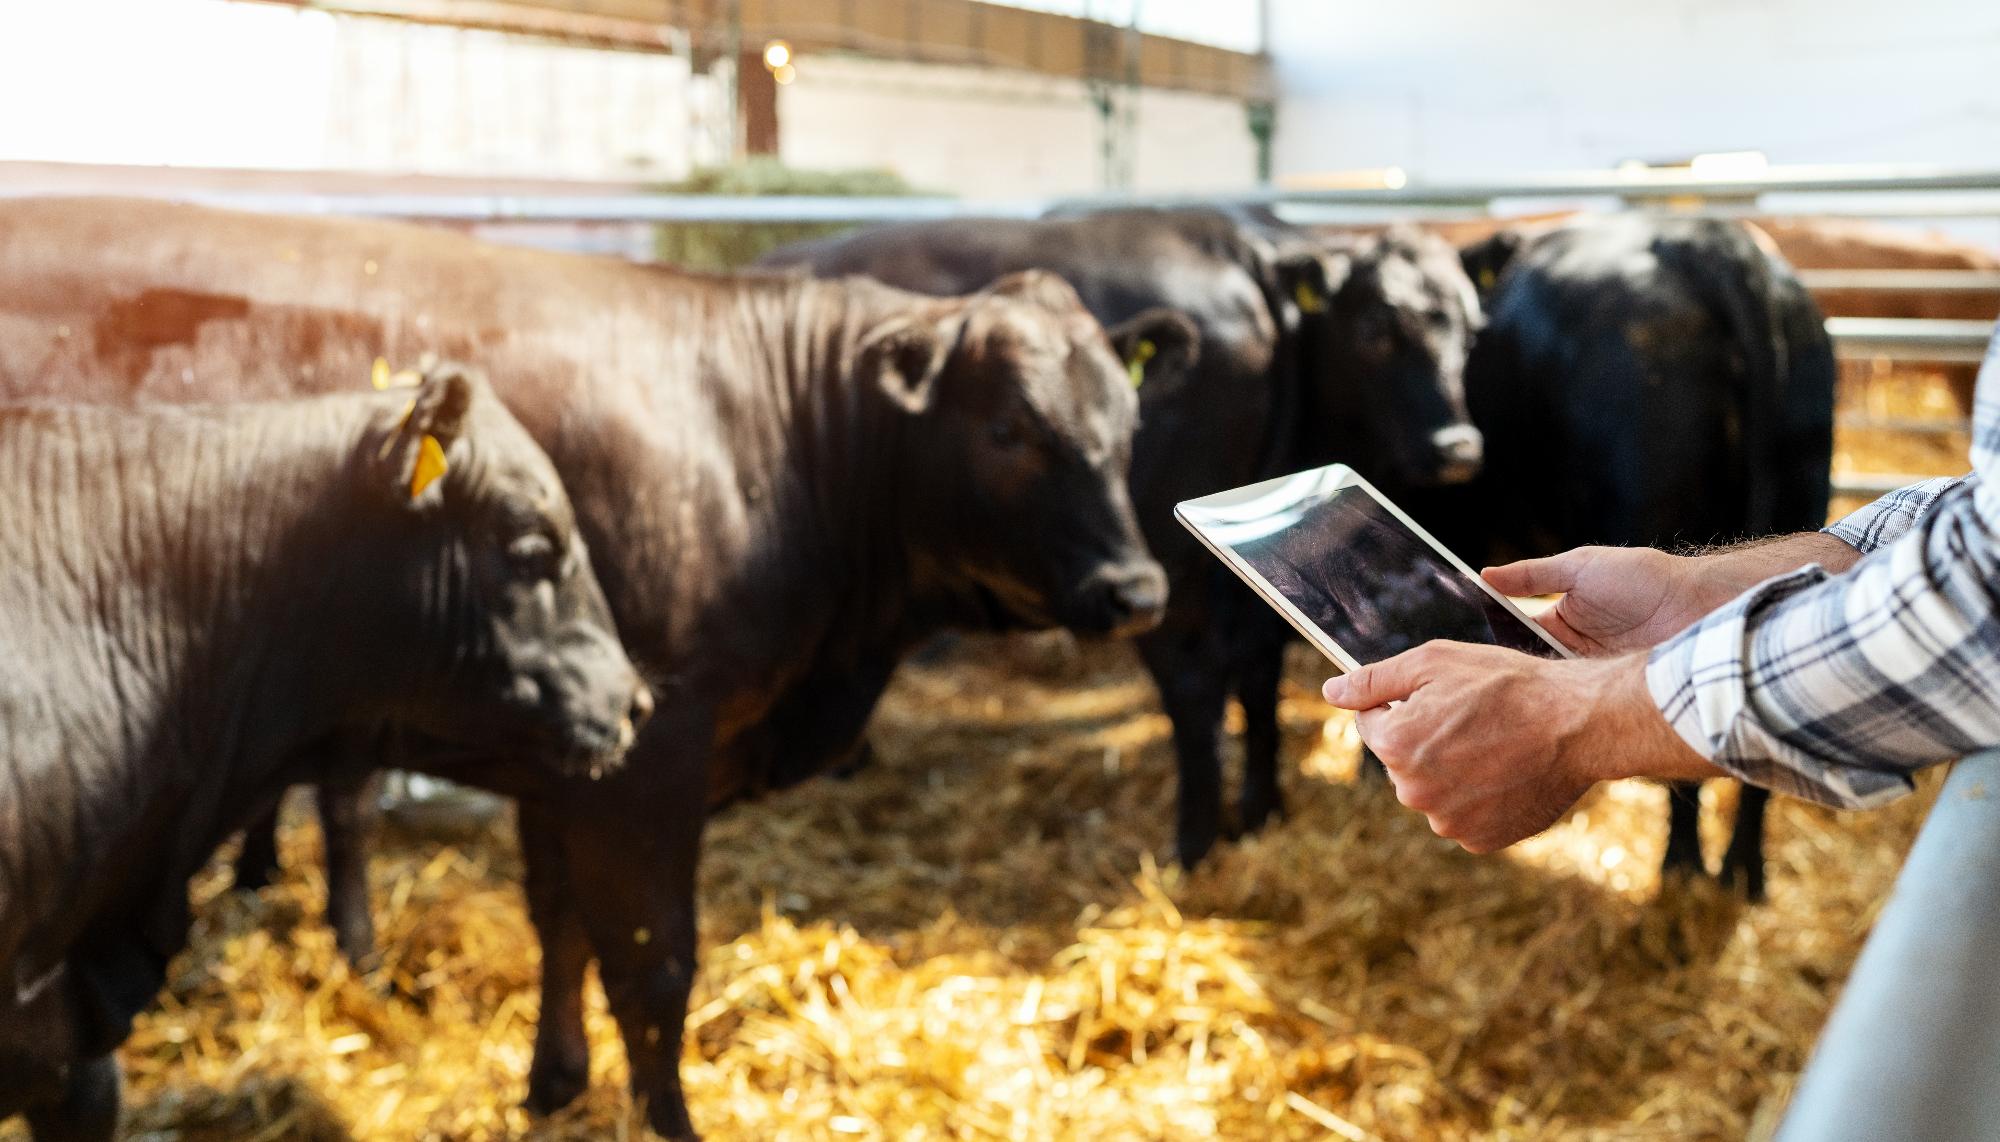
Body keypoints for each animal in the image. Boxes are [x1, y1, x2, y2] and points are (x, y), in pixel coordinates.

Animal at [760, 208, 1488, 868]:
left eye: (1470, 331)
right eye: (1377, 330)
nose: (1459, 447)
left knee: (1194, 681)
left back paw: (1192, 846)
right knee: (1254, 666)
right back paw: (1258, 813)